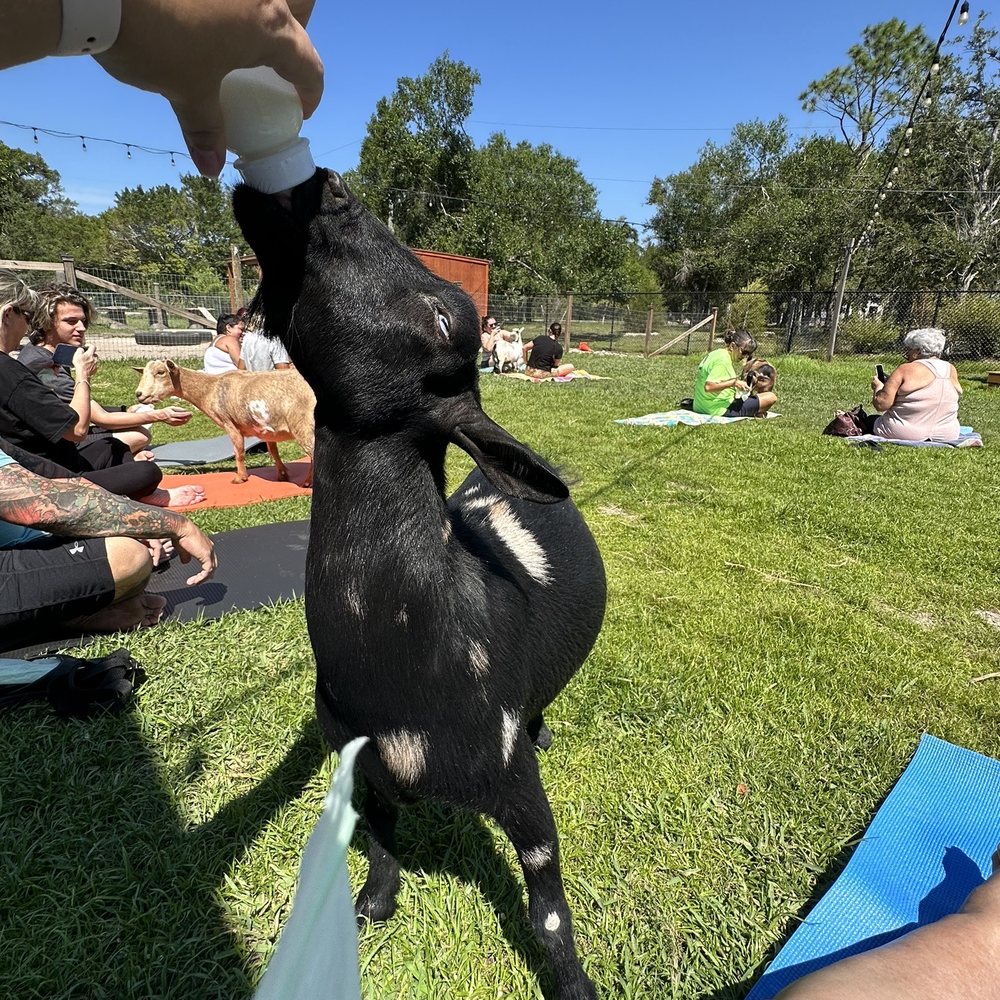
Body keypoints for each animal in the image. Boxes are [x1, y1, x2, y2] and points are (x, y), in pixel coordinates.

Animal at [133, 359, 315, 486]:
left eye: (160, 372)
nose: (139, 394)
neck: (211, 388)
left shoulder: (229, 422)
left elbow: (238, 451)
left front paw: (240, 478)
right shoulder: (267, 429)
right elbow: (273, 451)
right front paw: (282, 475)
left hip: (302, 425)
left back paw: (308, 483)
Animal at [233, 170, 606, 1000]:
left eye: (445, 315)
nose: (329, 185)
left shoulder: (518, 788)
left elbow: (549, 910)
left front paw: (573, 983)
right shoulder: (363, 769)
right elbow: (378, 843)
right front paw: (374, 903)